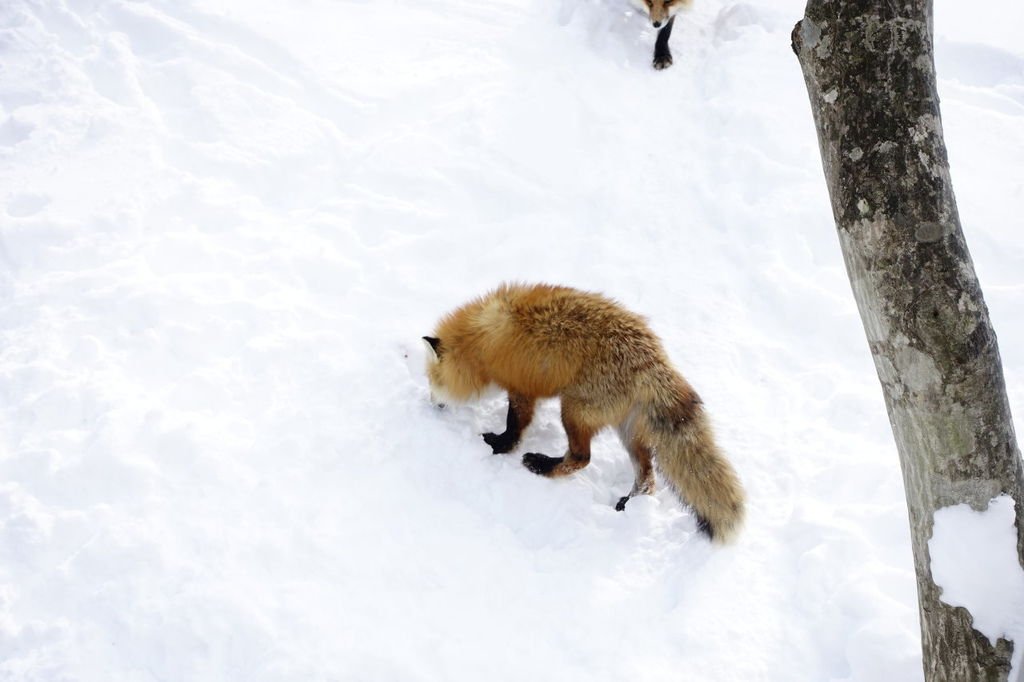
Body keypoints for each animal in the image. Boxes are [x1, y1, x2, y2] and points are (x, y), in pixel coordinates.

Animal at [423, 280, 745, 540]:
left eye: (432, 380)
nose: (431, 405)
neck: (483, 339)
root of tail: (653, 359)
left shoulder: (522, 390)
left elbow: (515, 426)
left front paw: (499, 446)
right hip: (627, 431)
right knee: (647, 478)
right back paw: (629, 503)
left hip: (573, 411)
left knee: (582, 458)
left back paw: (542, 466)